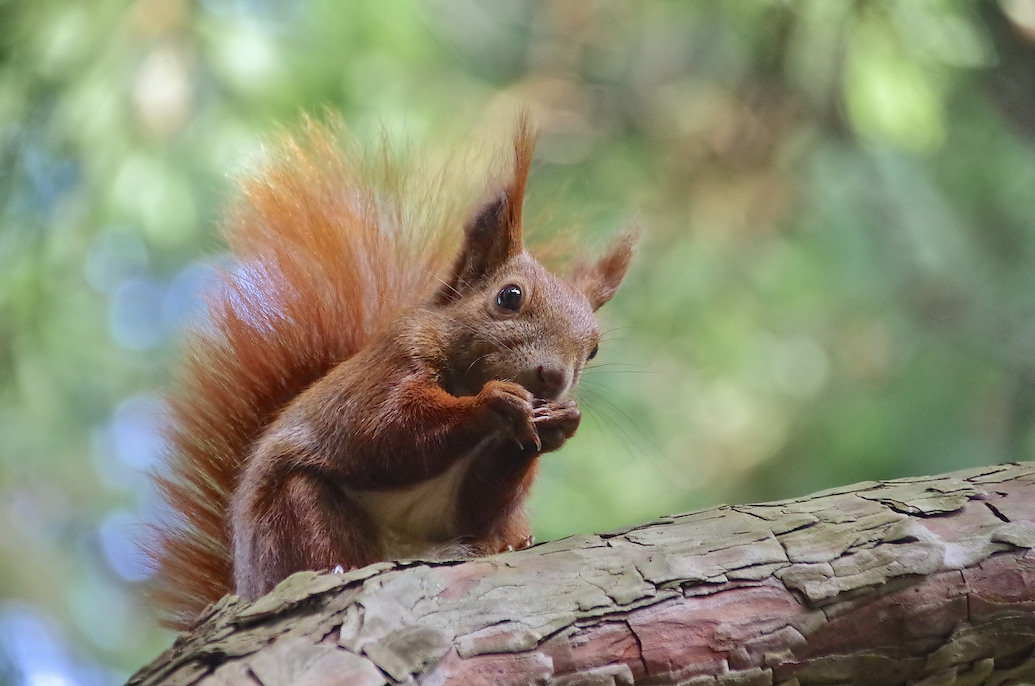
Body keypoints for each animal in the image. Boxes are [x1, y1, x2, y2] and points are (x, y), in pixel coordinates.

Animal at [145, 113, 629, 633]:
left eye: (594, 349)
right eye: (509, 297)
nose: (553, 378)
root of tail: (247, 584)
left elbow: (479, 504)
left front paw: (560, 423)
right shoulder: (387, 368)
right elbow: (384, 433)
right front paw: (493, 402)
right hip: (294, 515)